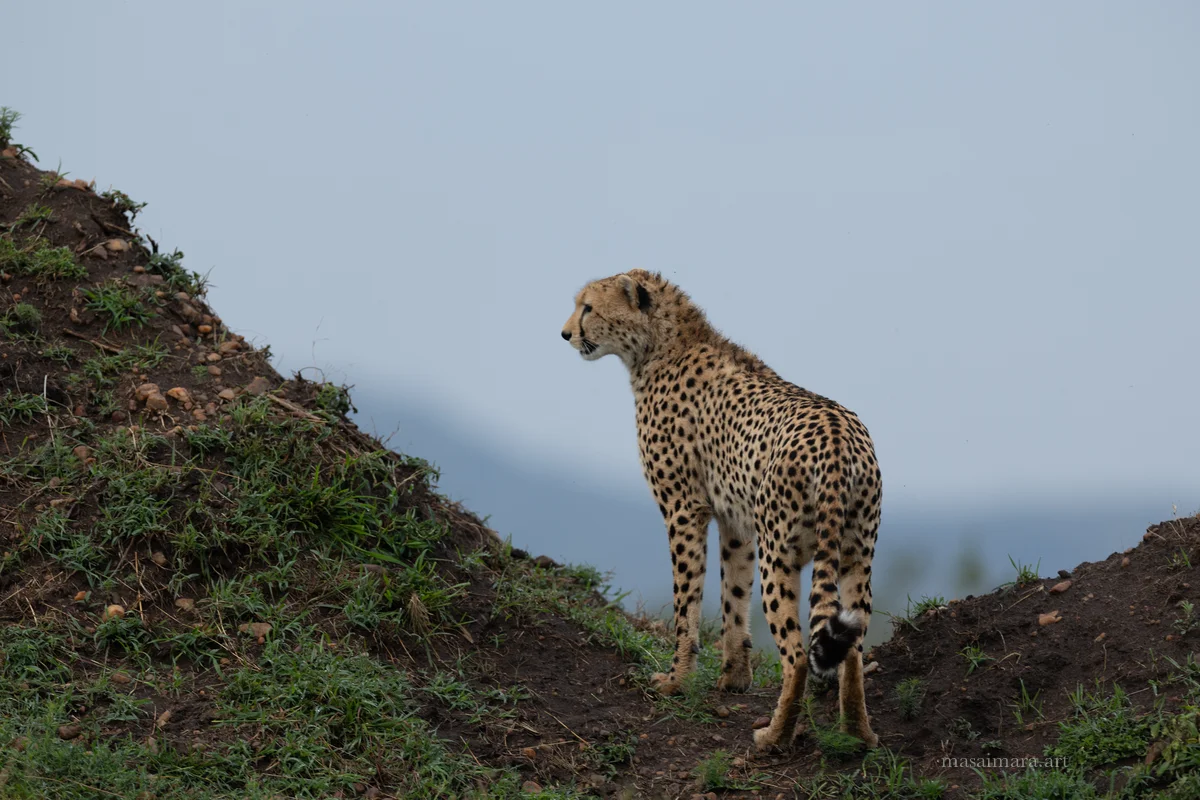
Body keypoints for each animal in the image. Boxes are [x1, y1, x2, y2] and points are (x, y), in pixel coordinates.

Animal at [561, 269, 880, 750]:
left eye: (588, 308)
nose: (565, 333)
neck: (658, 346)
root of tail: (837, 433)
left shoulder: (683, 509)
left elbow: (686, 601)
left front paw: (676, 681)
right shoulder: (737, 523)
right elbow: (733, 596)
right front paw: (734, 678)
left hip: (780, 554)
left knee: (797, 655)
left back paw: (774, 736)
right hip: (855, 554)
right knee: (853, 649)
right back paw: (857, 735)